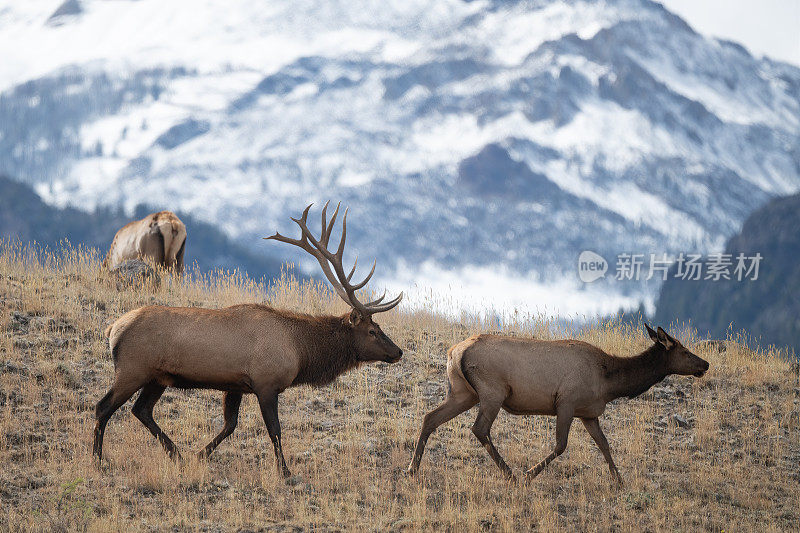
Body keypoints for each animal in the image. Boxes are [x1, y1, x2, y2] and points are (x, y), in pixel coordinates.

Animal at [94, 202, 404, 476]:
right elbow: (274, 430)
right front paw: (285, 472)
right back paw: (98, 461)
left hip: (158, 377)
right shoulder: (266, 383)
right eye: (372, 330)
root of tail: (112, 329)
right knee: (104, 407)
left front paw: (199, 455)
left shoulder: (236, 385)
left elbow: (229, 425)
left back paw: (177, 455)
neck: (300, 350)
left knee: (142, 410)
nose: (398, 351)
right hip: (133, 369)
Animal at [410, 322, 708, 484]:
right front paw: (529, 474)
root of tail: (454, 352)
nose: (704, 364)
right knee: (479, 429)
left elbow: (604, 445)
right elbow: (561, 445)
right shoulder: (566, 402)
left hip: (463, 393)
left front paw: (619, 480)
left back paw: (413, 468)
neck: (609, 383)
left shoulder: (589, 413)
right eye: (683, 349)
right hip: (492, 392)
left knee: (430, 417)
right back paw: (511, 474)